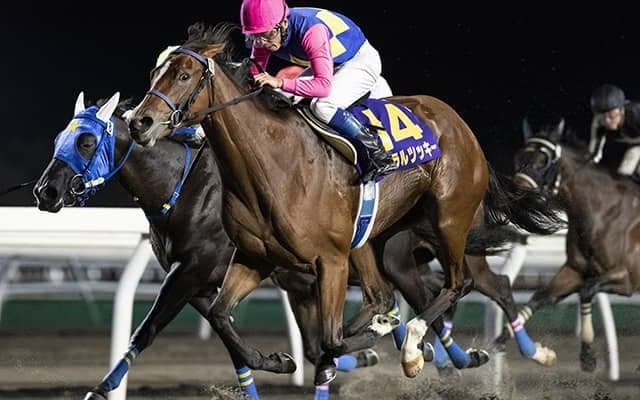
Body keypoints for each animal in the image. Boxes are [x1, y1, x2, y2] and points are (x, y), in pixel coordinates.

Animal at [126, 22, 564, 384]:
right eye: (154, 74)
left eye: (184, 75)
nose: (139, 122)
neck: (272, 164)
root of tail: (460, 126)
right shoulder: (256, 258)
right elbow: (222, 316)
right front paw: (279, 361)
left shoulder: (330, 261)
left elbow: (331, 341)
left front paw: (389, 343)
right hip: (377, 240)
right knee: (387, 295)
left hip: (448, 221)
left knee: (460, 284)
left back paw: (417, 346)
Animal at [501, 116, 640, 373]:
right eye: (518, 157)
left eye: (543, 161)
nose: (517, 194)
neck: (602, 213)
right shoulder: (574, 270)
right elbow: (542, 296)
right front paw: (504, 339)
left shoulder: (627, 278)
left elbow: (587, 291)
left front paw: (588, 357)